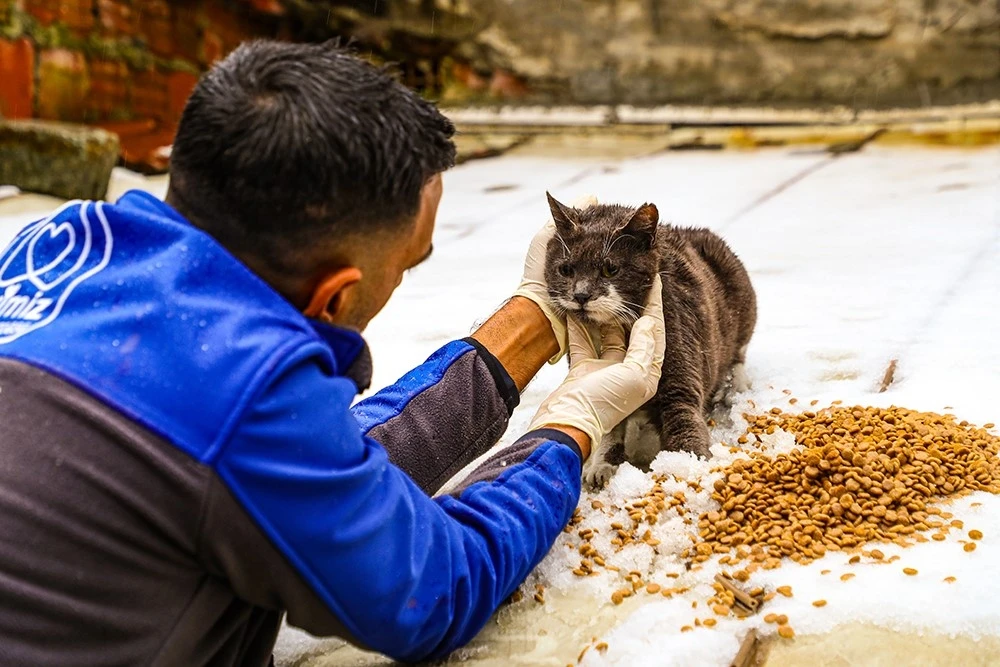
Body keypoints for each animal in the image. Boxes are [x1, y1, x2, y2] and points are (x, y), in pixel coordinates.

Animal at [544, 192, 752, 486]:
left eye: (610, 270)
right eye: (566, 270)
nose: (581, 295)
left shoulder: (680, 371)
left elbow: (684, 418)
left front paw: (686, 467)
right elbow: (609, 426)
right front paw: (600, 466)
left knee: (739, 353)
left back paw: (734, 384)